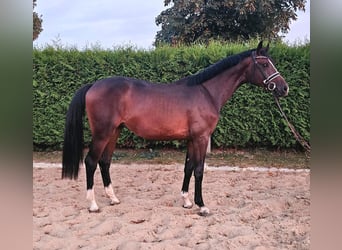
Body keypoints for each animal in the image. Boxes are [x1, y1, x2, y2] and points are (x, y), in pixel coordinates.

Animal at [62, 41, 288, 215]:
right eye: (265, 64)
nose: (284, 88)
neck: (206, 92)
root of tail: (93, 85)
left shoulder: (191, 139)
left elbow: (188, 167)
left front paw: (187, 201)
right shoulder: (201, 138)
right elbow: (199, 170)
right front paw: (202, 206)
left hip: (114, 132)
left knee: (105, 162)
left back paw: (113, 198)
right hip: (103, 133)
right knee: (91, 162)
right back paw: (93, 205)